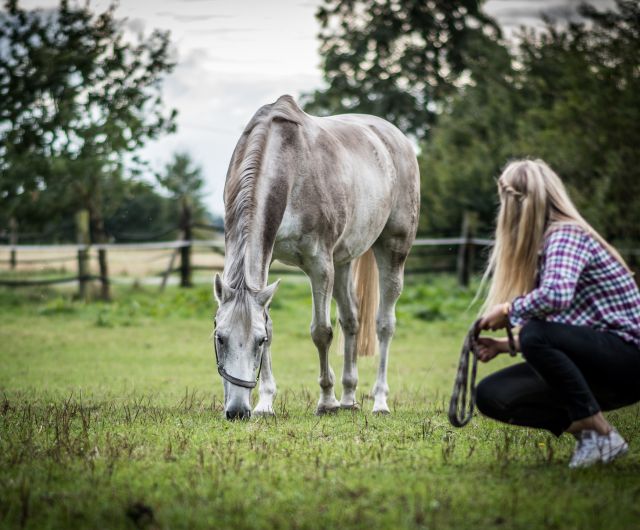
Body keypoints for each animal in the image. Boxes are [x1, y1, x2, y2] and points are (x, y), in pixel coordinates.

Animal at [212, 94, 418, 416]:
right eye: (220, 338)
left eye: (258, 342)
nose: (237, 411)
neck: (287, 165)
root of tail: (396, 137)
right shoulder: (270, 260)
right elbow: (272, 322)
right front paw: (265, 403)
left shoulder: (320, 264)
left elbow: (321, 332)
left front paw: (326, 401)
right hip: (343, 260)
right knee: (352, 320)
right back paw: (349, 397)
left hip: (392, 249)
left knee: (384, 325)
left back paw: (379, 401)